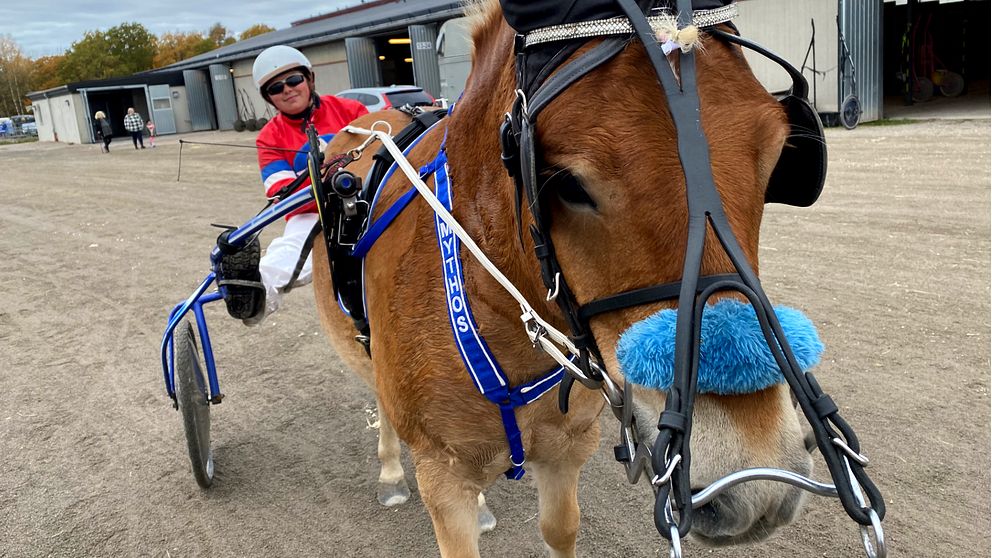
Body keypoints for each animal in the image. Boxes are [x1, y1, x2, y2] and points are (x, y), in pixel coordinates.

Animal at [314, 2, 808, 556]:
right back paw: (391, 472)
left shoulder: (566, 450)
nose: (756, 478)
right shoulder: (443, 478)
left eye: (776, 154)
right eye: (566, 183)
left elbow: (559, 527)